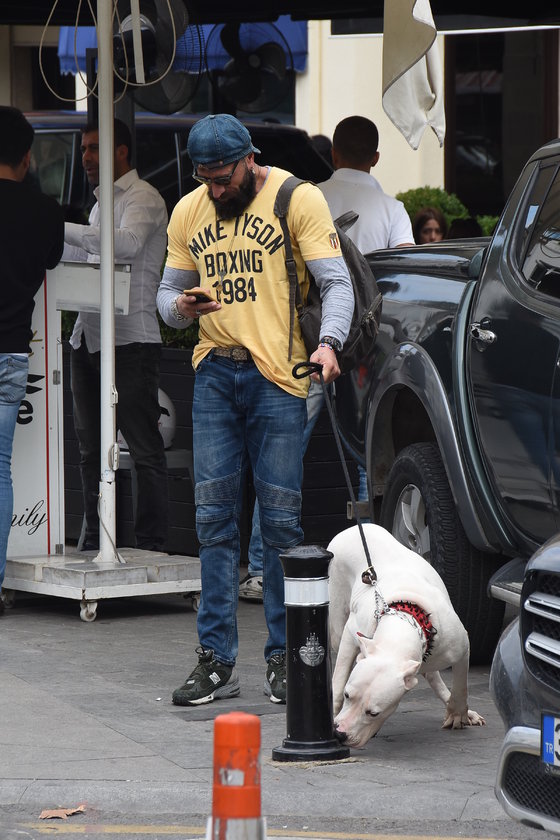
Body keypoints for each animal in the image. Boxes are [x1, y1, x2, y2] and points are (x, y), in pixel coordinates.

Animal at [327, 523, 485, 748]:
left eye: (374, 713)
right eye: (349, 695)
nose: (340, 734)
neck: (402, 623)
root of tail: (356, 527)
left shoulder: (462, 648)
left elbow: (461, 686)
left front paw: (457, 713)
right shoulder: (350, 636)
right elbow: (338, 681)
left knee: (432, 675)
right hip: (337, 620)